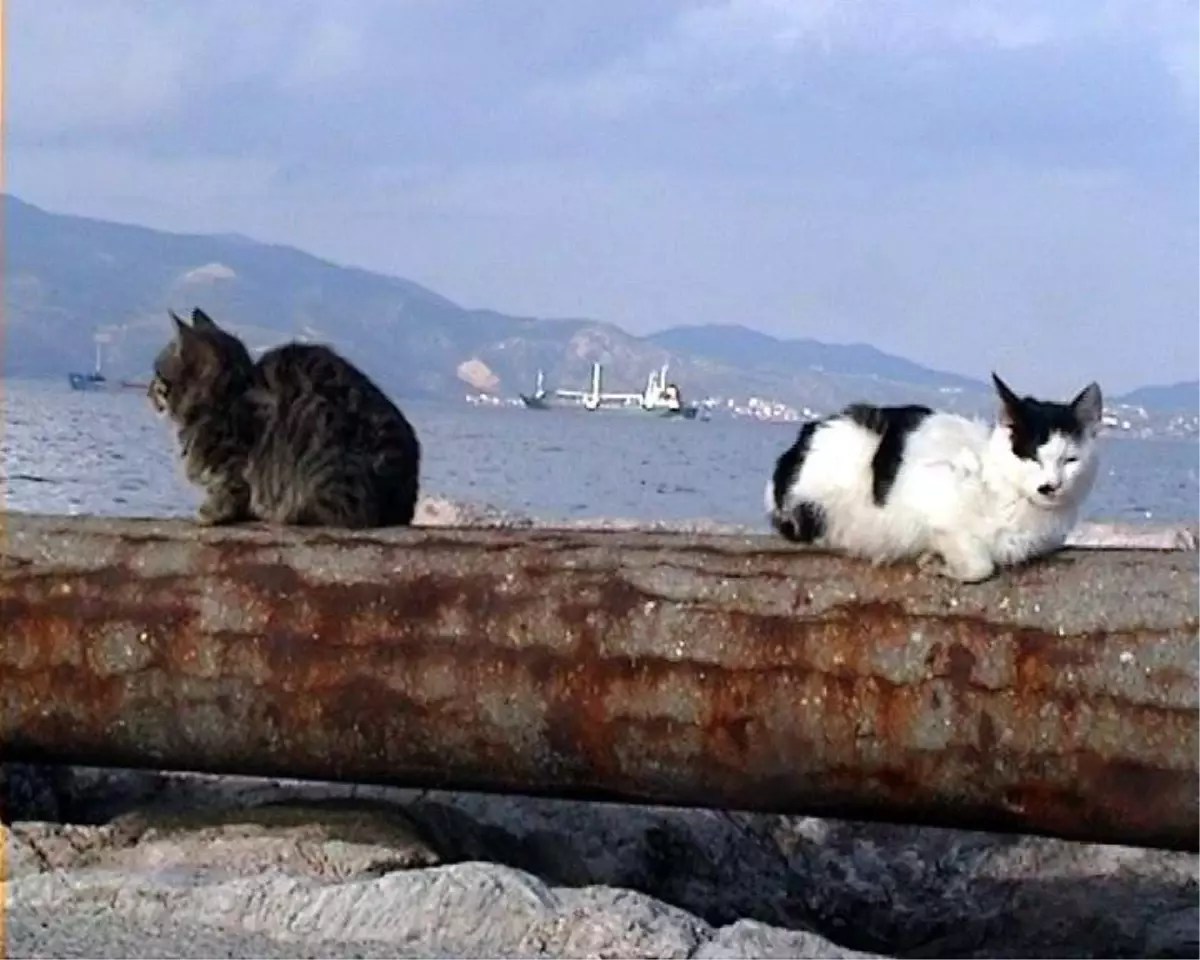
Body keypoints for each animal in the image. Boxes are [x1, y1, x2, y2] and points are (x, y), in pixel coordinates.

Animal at [768, 372, 1104, 585]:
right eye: (1031, 457)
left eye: (1070, 460)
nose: (1050, 486)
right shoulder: (929, 489)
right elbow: (981, 565)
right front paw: (940, 564)